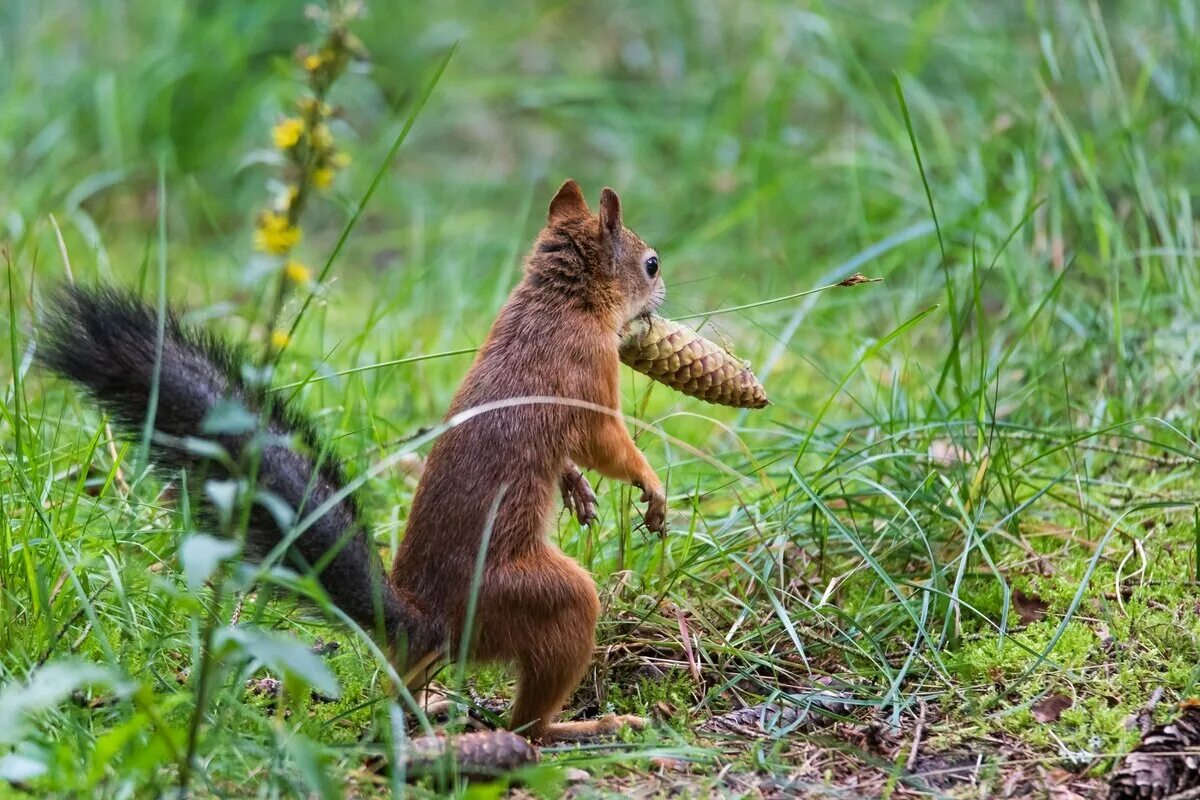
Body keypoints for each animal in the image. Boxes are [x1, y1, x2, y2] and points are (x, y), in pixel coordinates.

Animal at [39, 181, 667, 743]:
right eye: (651, 264)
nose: (661, 300)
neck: (558, 300)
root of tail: (426, 619)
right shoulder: (588, 369)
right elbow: (607, 443)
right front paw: (650, 485)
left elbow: (576, 456)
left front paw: (576, 488)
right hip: (539, 600)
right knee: (528, 723)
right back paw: (584, 725)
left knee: (407, 688)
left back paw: (428, 713)